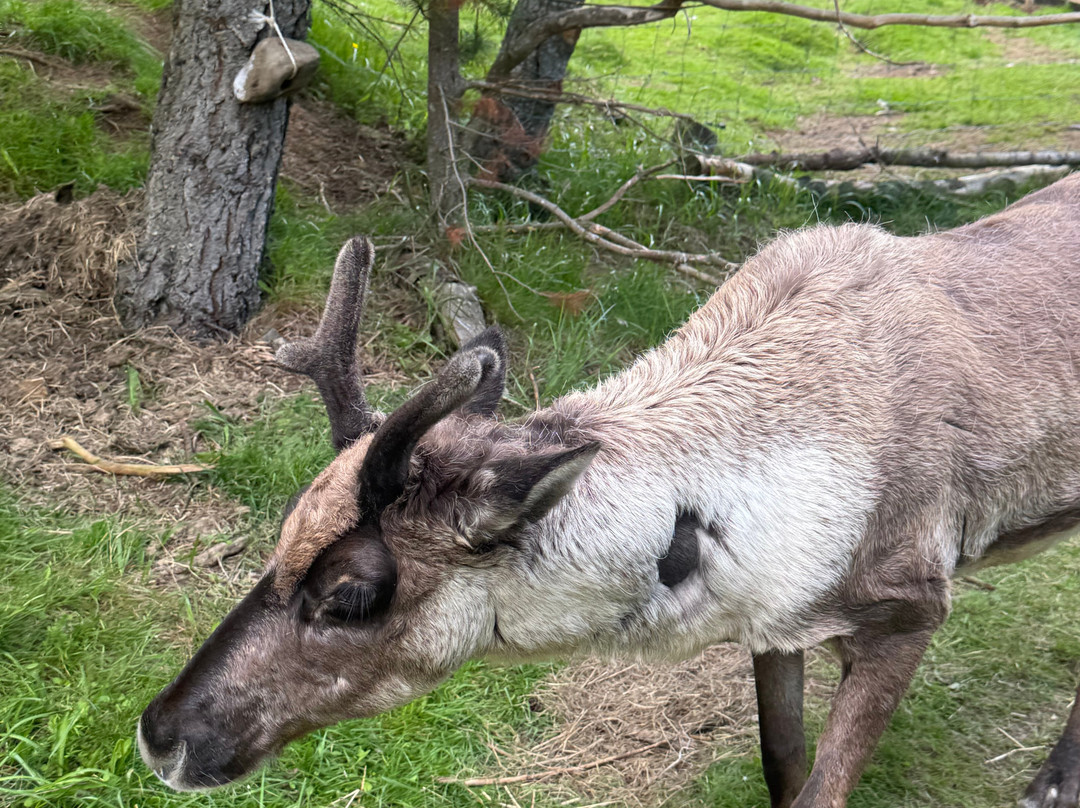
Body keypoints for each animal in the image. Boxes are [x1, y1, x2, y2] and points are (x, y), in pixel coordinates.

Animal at [138, 173, 1080, 808]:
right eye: (280, 534)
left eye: (349, 594)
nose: (162, 734)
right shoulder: (777, 623)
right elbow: (782, 765)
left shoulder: (911, 609)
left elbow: (823, 785)